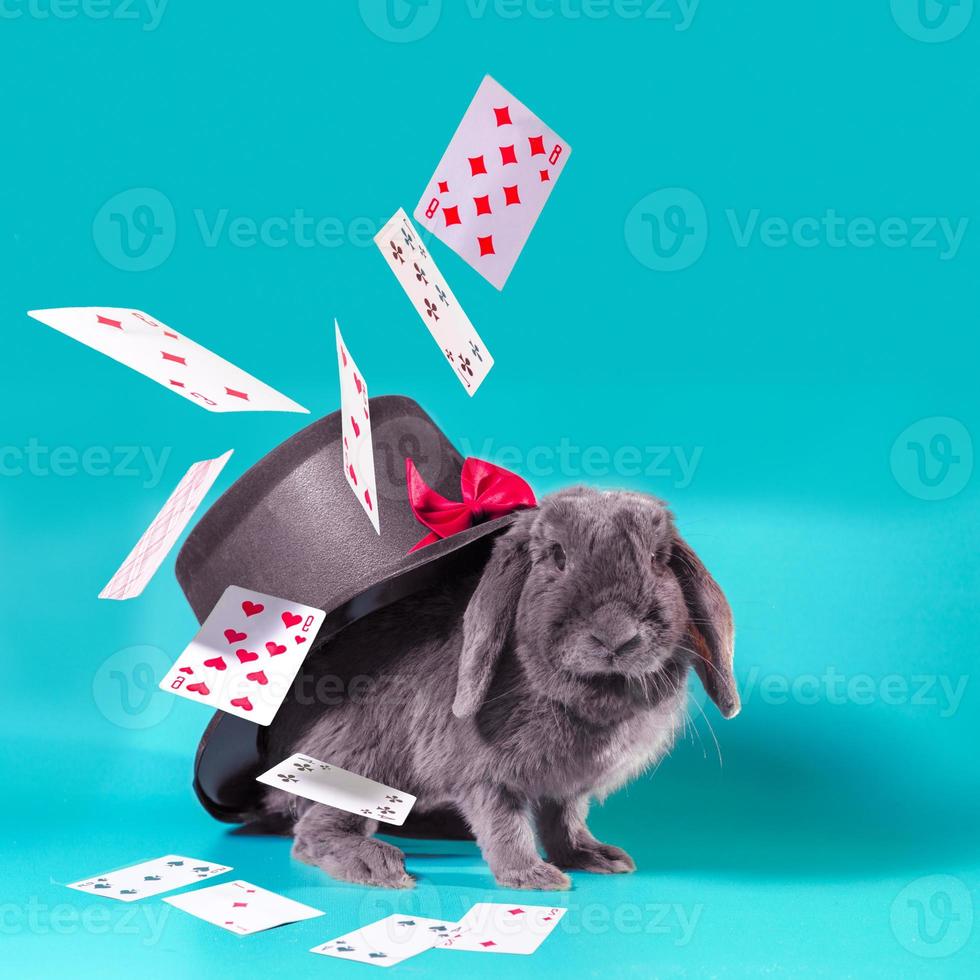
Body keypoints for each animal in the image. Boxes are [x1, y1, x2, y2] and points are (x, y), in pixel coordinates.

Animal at [260, 486, 736, 892]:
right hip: (357, 763)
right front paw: (532, 878)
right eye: (556, 556)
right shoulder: (485, 776)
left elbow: (564, 820)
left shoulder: (566, 786)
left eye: (658, 559)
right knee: (312, 831)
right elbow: (504, 825)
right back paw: (376, 864)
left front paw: (594, 857)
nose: (615, 636)